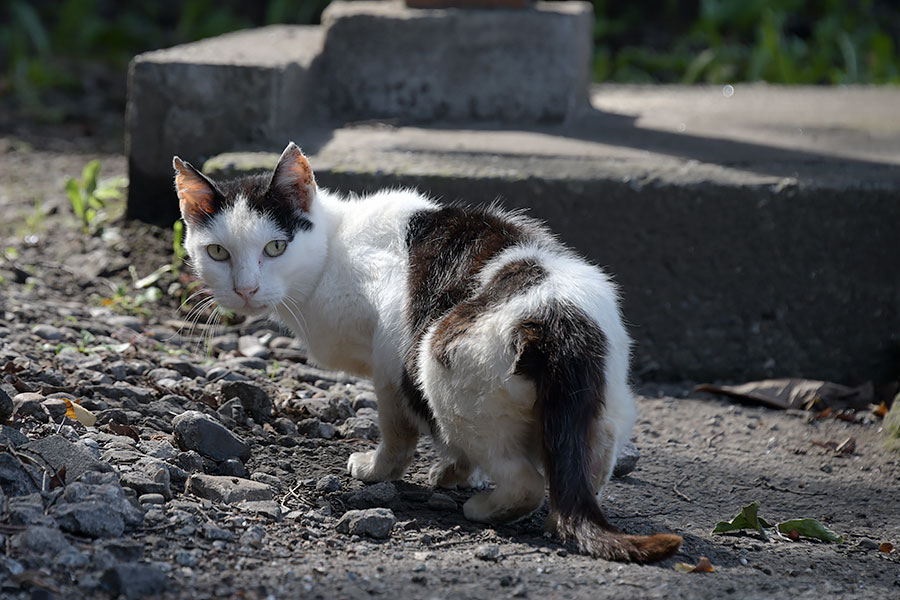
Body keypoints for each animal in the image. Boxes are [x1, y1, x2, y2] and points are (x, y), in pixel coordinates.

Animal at [174, 142, 684, 564]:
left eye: (275, 247)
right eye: (217, 252)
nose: (246, 290)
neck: (331, 252)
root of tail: (557, 319)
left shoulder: (388, 356)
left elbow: (397, 430)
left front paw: (378, 471)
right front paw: (457, 470)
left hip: (441, 366)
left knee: (526, 482)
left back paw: (485, 509)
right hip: (606, 403)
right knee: (584, 471)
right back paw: (557, 515)